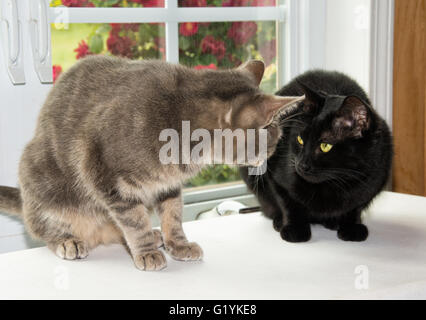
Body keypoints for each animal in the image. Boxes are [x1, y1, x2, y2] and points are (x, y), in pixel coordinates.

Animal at [0, 56, 302, 272]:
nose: (269, 159)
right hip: (42, 183)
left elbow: (173, 215)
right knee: (42, 225)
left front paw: (177, 244)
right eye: (273, 141)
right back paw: (68, 240)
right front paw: (145, 252)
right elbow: (134, 222)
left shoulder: (168, 185)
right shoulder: (103, 174)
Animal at [241, 69, 394, 241]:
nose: (301, 165)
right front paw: (295, 230)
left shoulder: (373, 180)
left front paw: (351, 227)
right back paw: (279, 221)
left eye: (325, 146)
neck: (334, 183)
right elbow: (288, 203)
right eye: (300, 139)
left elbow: (355, 207)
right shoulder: (276, 176)